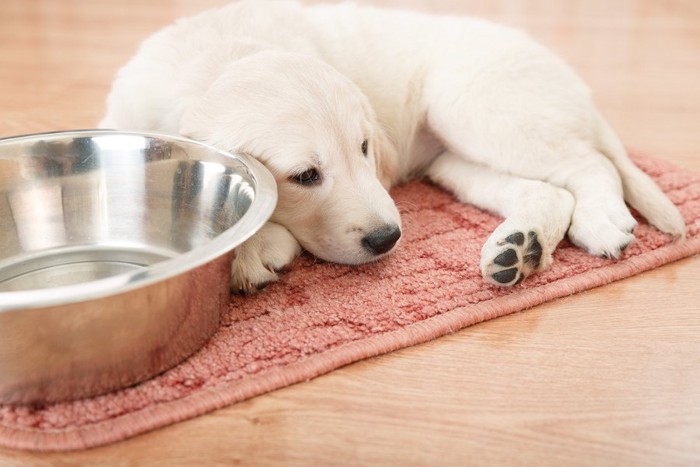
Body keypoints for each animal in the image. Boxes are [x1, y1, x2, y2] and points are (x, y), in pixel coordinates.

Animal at [101, 0, 688, 292]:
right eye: (305, 176)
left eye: (364, 147)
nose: (388, 238)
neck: (218, 56)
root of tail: (574, 82)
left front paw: (251, 248)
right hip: (454, 161)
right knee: (549, 190)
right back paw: (519, 249)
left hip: (473, 105)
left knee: (589, 163)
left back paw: (600, 221)